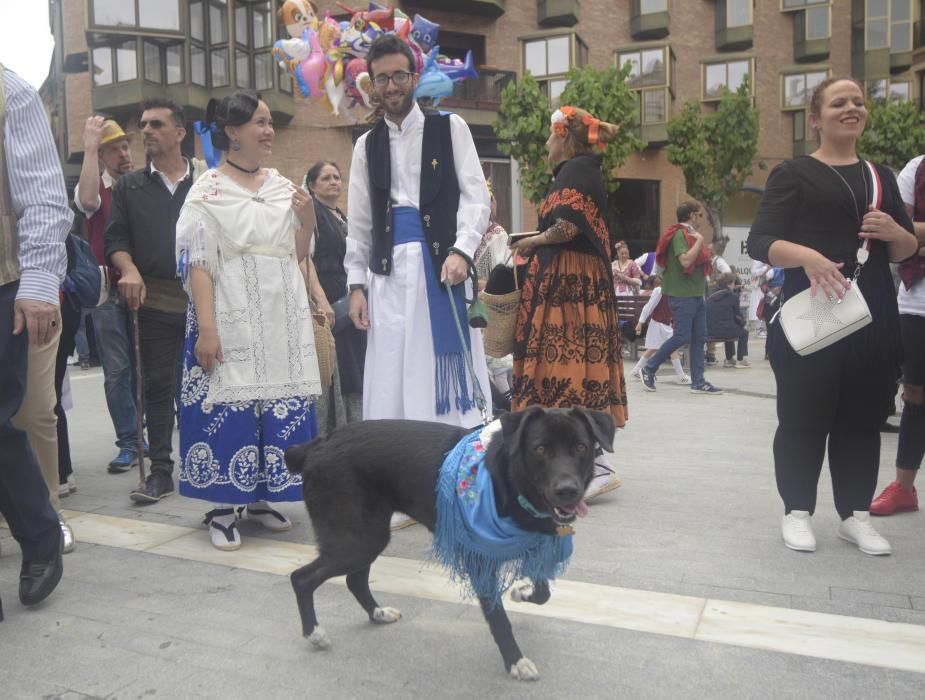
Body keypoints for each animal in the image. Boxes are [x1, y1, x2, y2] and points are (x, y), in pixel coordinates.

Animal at [282, 408, 612, 680]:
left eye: (581, 447)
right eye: (540, 448)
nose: (567, 490)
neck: (507, 480)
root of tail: (317, 444)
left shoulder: (536, 541)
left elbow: (543, 593)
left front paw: (522, 592)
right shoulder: (480, 559)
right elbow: (498, 618)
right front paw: (515, 662)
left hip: (369, 535)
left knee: (355, 580)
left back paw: (377, 613)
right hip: (357, 539)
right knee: (301, 578)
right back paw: (314, 633)